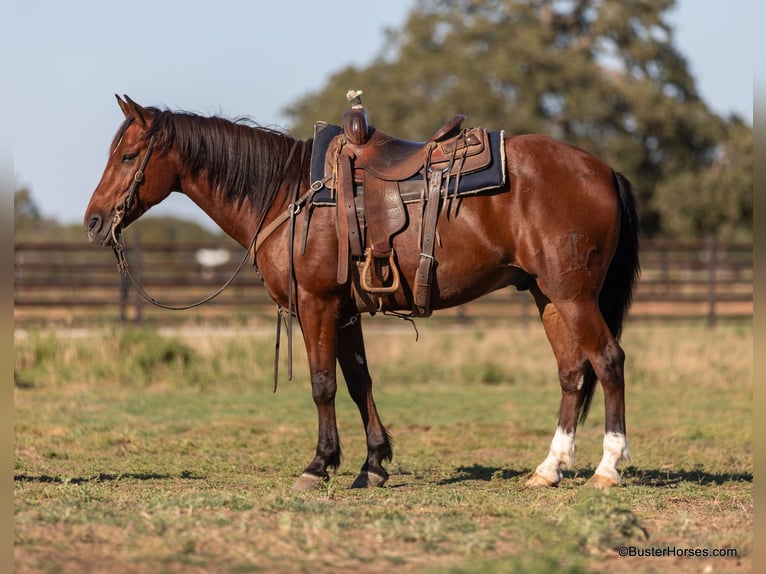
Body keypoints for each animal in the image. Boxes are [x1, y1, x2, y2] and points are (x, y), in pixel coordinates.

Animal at [84, 94, 640, 490]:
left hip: (573, 295)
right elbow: (358, 382)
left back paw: (607, 468)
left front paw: (318, 464)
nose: (93, 222)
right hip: (548, 296)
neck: (286, 195)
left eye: (128, 155)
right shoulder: (346, 311)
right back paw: (548, 469)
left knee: (608, 361)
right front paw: (372, 465)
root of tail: (602, 169)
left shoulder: (317, 304)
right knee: (572, 373)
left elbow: (322, 384)